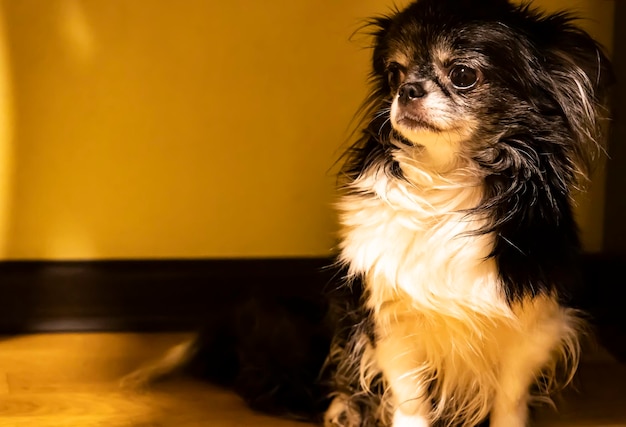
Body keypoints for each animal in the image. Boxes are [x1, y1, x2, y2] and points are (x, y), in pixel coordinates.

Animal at [122, 1, 608, 426]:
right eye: (395, 74)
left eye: (463, 75)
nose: (407, 90)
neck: (446, 182)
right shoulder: (390, 319)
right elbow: (409, 397)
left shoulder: (531, 328)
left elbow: (509, 398)